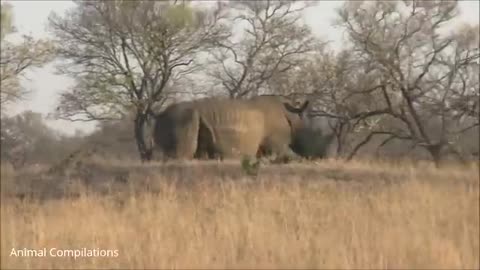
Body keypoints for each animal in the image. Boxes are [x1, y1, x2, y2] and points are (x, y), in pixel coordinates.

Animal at [151, 95, 312, 160]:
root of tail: (159, 115)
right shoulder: (278, 143)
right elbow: (289, 153)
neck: (291, 113)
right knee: (183, 153)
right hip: (181, 117)